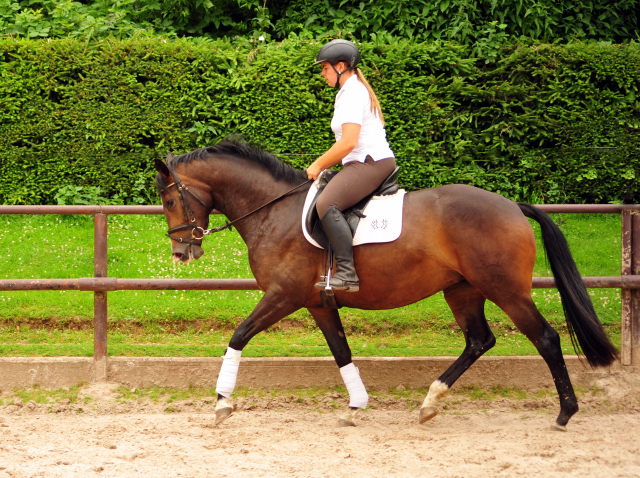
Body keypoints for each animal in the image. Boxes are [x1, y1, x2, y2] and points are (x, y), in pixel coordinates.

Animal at [152, 138, 616, 430]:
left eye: (171, 199)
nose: (181, 252)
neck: (273, 211)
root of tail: (513, 207)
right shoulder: (318, 303)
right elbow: (341, 352)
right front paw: (355, 407)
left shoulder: (283, 295)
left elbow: (239, 335)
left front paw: (222, 403)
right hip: (462, 289)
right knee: (479, 340)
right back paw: (430, 403)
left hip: (505, 290)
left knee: (546, 339)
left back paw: (565, 414)